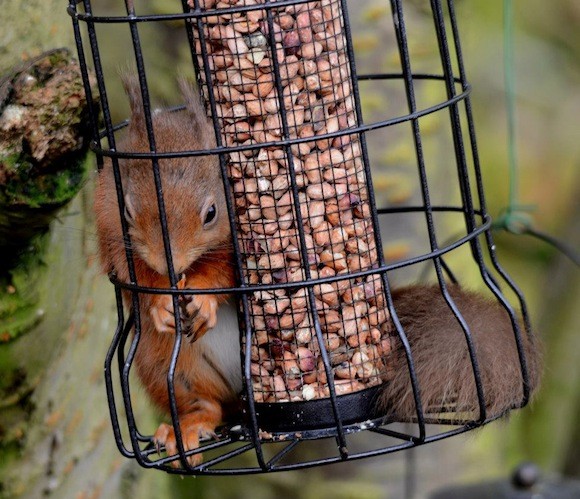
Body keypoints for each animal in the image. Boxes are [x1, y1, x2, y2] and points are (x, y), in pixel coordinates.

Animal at [93, 76, 540, 466]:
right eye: (128, 209)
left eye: (211, 214)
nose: (169, 265)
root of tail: (249, 410)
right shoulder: (110, 227)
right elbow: (129, 271)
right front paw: (160, 300)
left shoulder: (245, 242)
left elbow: (228, 273)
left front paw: (201, 297)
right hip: (166, 362)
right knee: (207, 405)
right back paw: (185, 426)